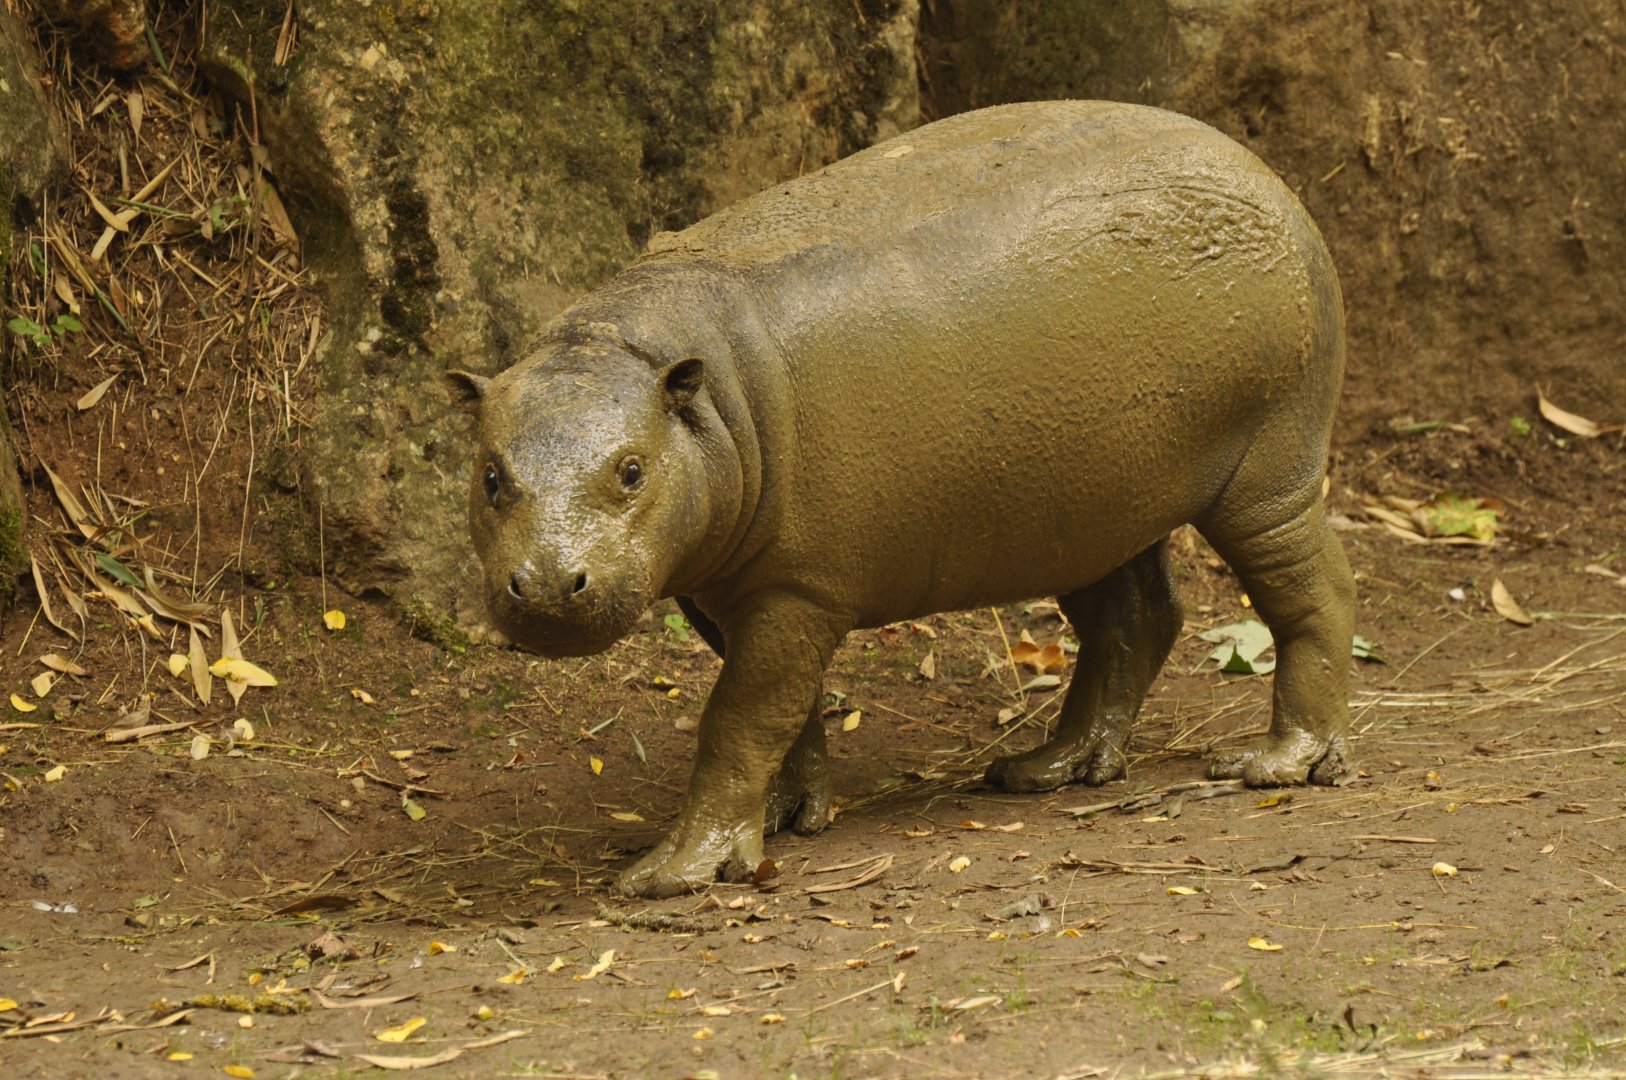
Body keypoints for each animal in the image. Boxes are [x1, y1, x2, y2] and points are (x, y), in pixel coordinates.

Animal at [449, 100, 1355, 898]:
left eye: (632, 469)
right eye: (490, 475)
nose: (546, 586)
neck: (644, 366)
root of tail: (1268, 177)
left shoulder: (795, 590)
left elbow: (738, 719)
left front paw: (674, 874)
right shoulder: (725, 591)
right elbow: (784, 713)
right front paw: (787, 816)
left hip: (1266, 473)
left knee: (1314, 592)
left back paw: (1278, 763)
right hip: (1089, 505)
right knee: (1134, 618)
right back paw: (1043, 770)